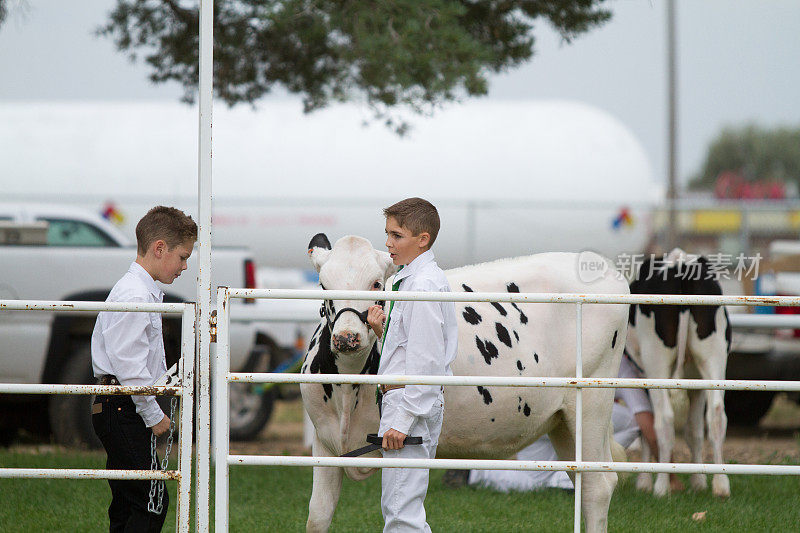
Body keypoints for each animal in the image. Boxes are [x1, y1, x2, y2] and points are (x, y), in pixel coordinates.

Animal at [296, 234, 628, 532]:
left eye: (376, 284)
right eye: (323, 285)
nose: (347, 337)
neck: (348, 390)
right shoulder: (325, 444)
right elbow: (318, 515)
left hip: (592, 404)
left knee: (598, 486)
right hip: (562, 423)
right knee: (584, 479)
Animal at [628, 249, 736, 498]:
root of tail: (680, 263)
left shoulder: (641, 376)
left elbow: (645, 425)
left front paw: (644, 482)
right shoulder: (696, 384)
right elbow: (694, 431)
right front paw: (698, 481)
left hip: (655, 360)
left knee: (664, 419)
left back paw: (661, 486)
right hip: (713, 357)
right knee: (716, 415)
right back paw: (721, 485)